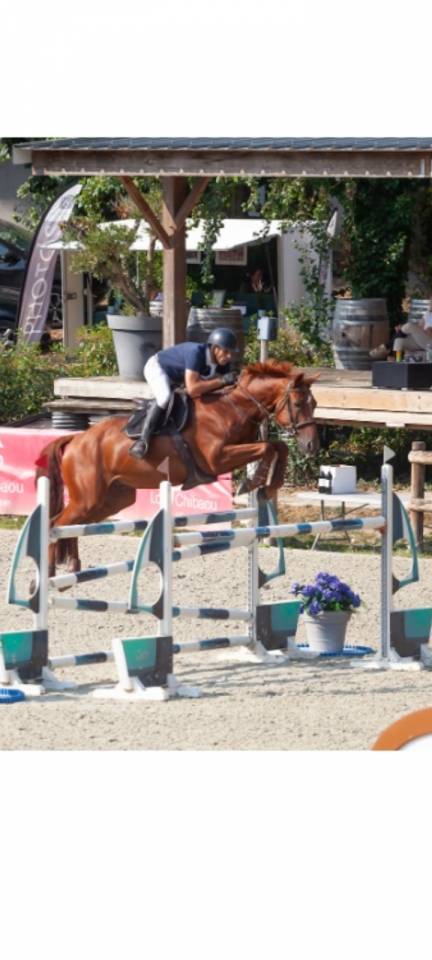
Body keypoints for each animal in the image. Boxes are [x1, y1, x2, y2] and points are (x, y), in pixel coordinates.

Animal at [36, 360, 320, 575]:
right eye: (297, 404)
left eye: (314, 404)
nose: (311, 445)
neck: (232, 408)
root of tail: (75, 439)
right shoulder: (218, 459)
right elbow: (268, 448)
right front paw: (255, 482)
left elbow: (276, 447)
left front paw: (268, 485)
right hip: (89, 498)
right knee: (55, 524)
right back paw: (47, 574)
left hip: (109, 500)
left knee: (71, 527)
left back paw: (72, 567)